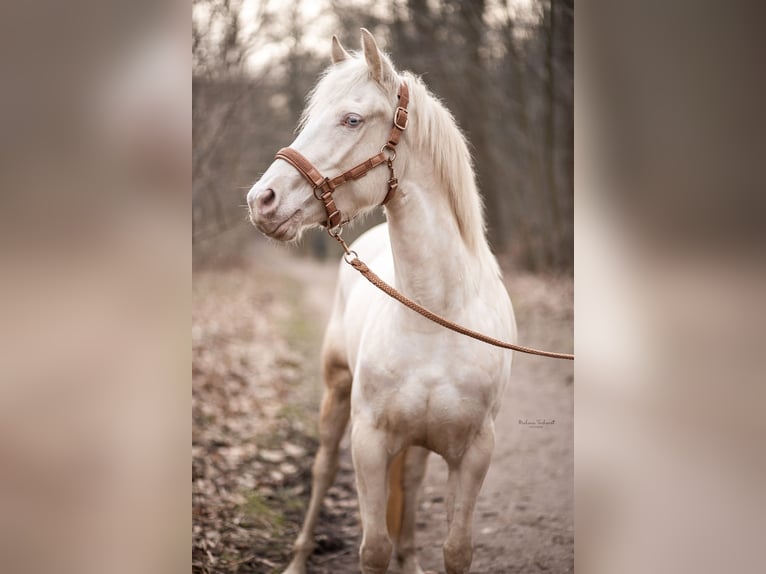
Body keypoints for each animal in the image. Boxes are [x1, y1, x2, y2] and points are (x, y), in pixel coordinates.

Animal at [249, 31, 520, 574]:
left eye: (352, 119)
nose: (260, 200)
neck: (436, 318)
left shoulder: (474, 452)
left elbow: (456, 550)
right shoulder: (369, 443)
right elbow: (373, 547)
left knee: (411, 485)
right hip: (336, 397)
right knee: (321, 470)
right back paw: (298, 557)